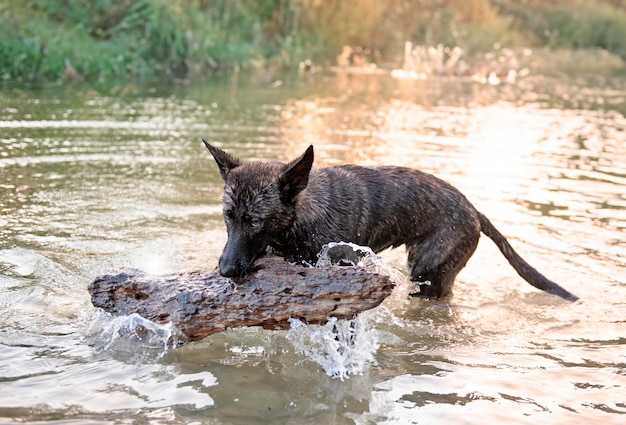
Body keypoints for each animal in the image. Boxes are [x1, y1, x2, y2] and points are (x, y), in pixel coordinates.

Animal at [202, 141, 576, 300]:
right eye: (228, 216)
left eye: (255, 221)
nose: (225, 270)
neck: (301, 218)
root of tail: (474, 211)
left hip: (429, 275)